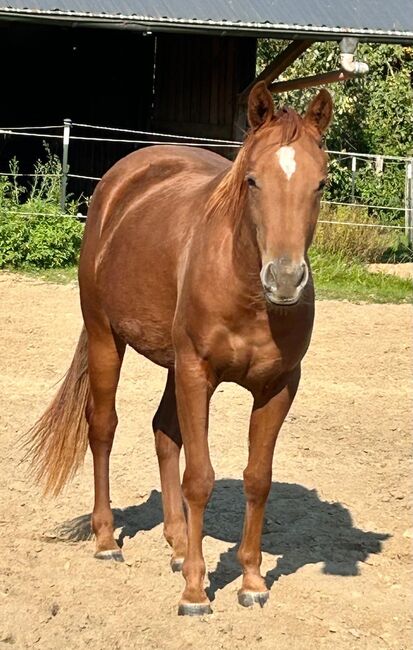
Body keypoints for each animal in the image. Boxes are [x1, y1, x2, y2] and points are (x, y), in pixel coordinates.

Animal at [26, 81, 332, 612]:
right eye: (253, 180)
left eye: (320, 183)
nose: (285, 279)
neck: (246, 291)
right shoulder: (196, 373)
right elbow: (200, 477)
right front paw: (195, 590)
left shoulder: (278, 386)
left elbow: (258, 478)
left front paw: (251, 582)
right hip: (107, 338)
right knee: (102, 428)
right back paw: (106, 540)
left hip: (171, 363)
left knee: (164, 433)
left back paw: (176, 543)